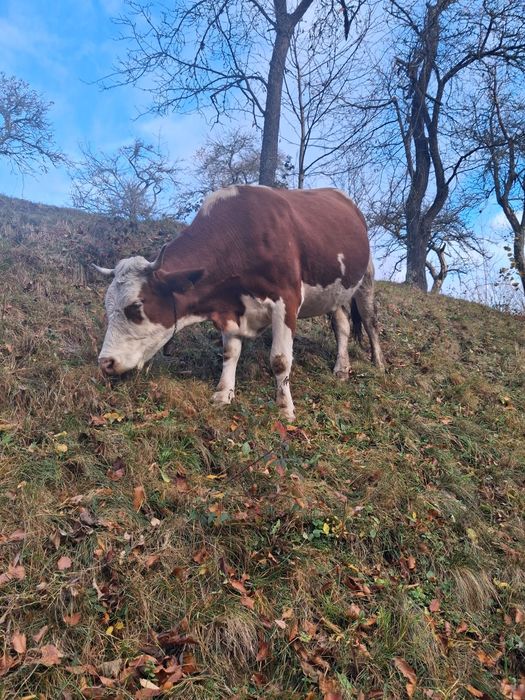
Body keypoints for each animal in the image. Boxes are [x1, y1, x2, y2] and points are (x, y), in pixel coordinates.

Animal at [94, 186, 384, 419]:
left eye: (135, 306)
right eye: (107, 307)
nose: (105, 362)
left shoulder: (287, 300)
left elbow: (280, 359)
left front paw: (285, 408)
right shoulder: (230, 307)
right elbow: (230, 352)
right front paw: (223, 394)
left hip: (366, 278)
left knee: (370, 321)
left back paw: (379, 363)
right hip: (335, 292)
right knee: (342, 326)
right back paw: (342, 368)